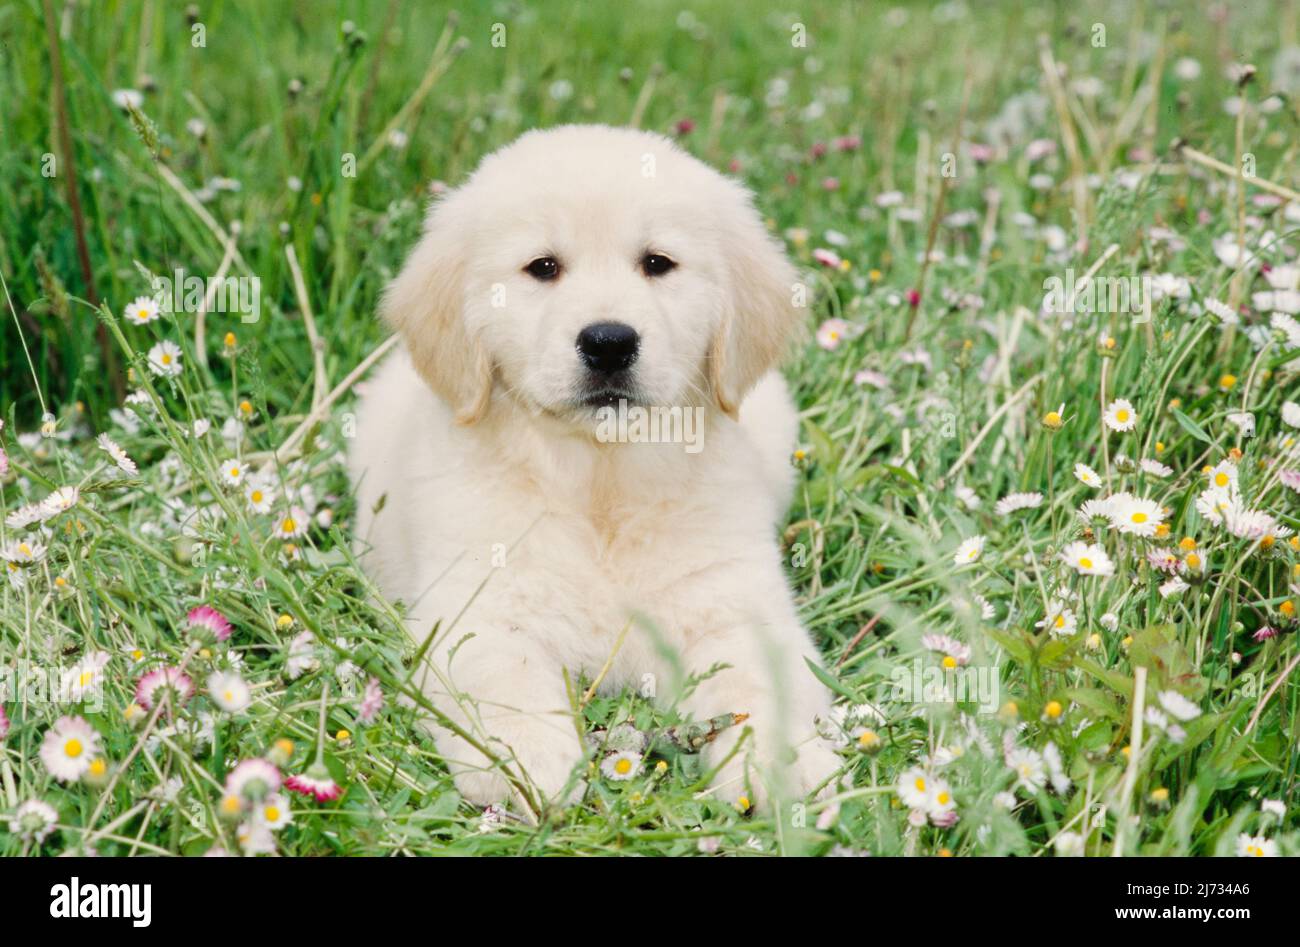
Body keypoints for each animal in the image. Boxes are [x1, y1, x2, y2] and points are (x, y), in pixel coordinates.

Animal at [353, 122, 842, 811]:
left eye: (657, 263)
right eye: (543, 268)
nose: (609, 342)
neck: (599, 483)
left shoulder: (734, 600)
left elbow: (758, 686)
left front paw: (782, 766)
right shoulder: (477, 607)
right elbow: (505, 679)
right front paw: (530, 761)